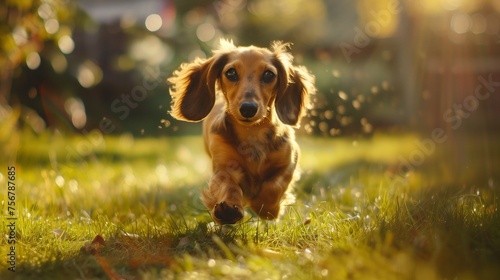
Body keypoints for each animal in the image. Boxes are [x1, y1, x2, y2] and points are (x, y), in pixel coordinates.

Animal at [170, 39, 314, 224]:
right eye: (231, 73)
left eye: (269, 75)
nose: (248, 108)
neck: (252, 134)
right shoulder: (223, 168)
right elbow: (229, 186)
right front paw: (229, 209)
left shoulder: (289, 161)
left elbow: (274, 185)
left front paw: (266, 208)